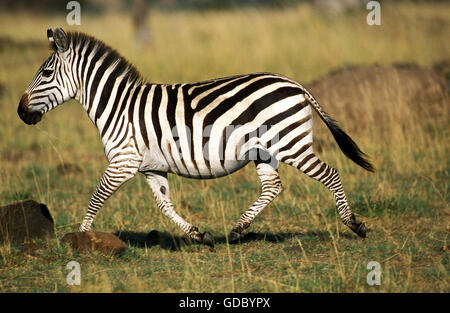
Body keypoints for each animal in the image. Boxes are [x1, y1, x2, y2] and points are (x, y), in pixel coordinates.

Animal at [18, 27, 372, 246]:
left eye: (46, 73)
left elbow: (96, 197)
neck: (118, 106)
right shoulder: (151, 167)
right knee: (273, 187)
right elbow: (164, 205)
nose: (21, 112)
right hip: (264, 151)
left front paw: (80, 239)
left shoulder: (123, 162)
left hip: (291, 144)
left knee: (331, 174)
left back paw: (354, 224)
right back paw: (237, 230)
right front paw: (200, 235)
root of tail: (294, 83)